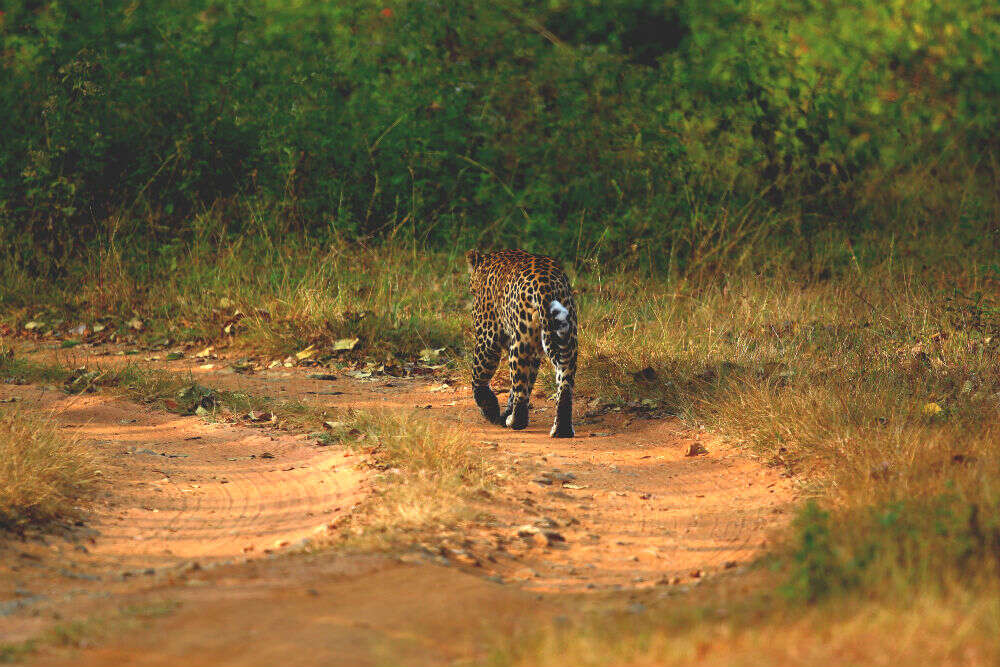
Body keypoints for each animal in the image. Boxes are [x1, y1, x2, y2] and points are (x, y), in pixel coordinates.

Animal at [465, 249, 578, 438]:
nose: (471, 290)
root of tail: (545, 284)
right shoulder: (535, 351)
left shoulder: (487, 339)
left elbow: (478, 377)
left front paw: (491, 410)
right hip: (567, 338)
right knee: (564, 386)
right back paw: (562, 430)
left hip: (520, 344)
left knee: (520, 389)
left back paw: (514, 421)